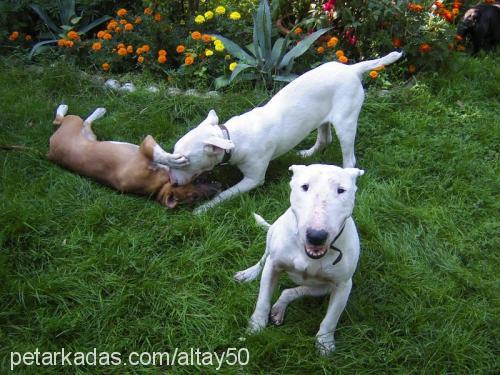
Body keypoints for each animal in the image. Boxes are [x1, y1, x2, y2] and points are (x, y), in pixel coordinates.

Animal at [48, 104, 219, 209]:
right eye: (194, 196)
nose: (218, 188)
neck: (158, 186)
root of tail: (49, 152)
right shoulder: (146, 145)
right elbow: (159, 154)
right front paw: (173, 160)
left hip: (90, 133)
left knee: (86, 122)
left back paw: (99, 111)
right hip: (72, 122)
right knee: (59, 120)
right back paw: (64, 108)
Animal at [156, 51, 402, 213]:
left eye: (183, 161)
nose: (173, 183)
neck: (231, 138)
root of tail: (351, 69)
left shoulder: (253, 179)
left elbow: (226, 193)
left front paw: (204, 208)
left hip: (346, 123)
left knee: (348, 157)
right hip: (322, 118)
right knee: (325, 138)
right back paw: (307, 154)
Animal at [234, 164, 364, 356]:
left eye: (341, 190)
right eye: (304, 187)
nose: (316, 236)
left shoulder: (343, 286)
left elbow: (331, 319)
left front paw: (325, 343)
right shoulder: (273, 266)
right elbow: (263, 300)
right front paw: (255, 328)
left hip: (323, 288)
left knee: (290, 291)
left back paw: (279, 308)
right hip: (272, 234)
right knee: (263, 259)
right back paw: (248, 274)